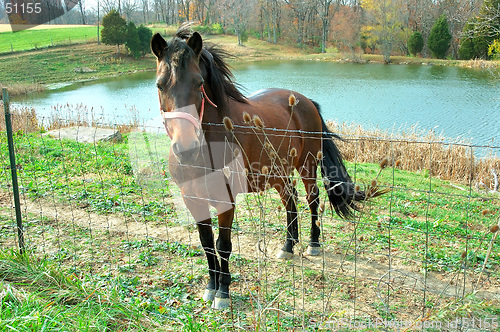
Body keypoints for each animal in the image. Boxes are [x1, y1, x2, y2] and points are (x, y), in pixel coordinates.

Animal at [150, 26, 384, 312]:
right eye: (160, 84)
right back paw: (288, 245)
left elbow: (223, 245)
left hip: (306, 166)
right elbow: (206, 245)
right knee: (290, 200)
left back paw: (313, 244)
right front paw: (210, 286)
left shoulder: (226, 200)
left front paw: (223, 293)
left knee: (312, 199)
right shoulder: (193, 198)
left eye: (199, 83)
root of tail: (304, 100)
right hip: (278, 175)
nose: (186, 148)